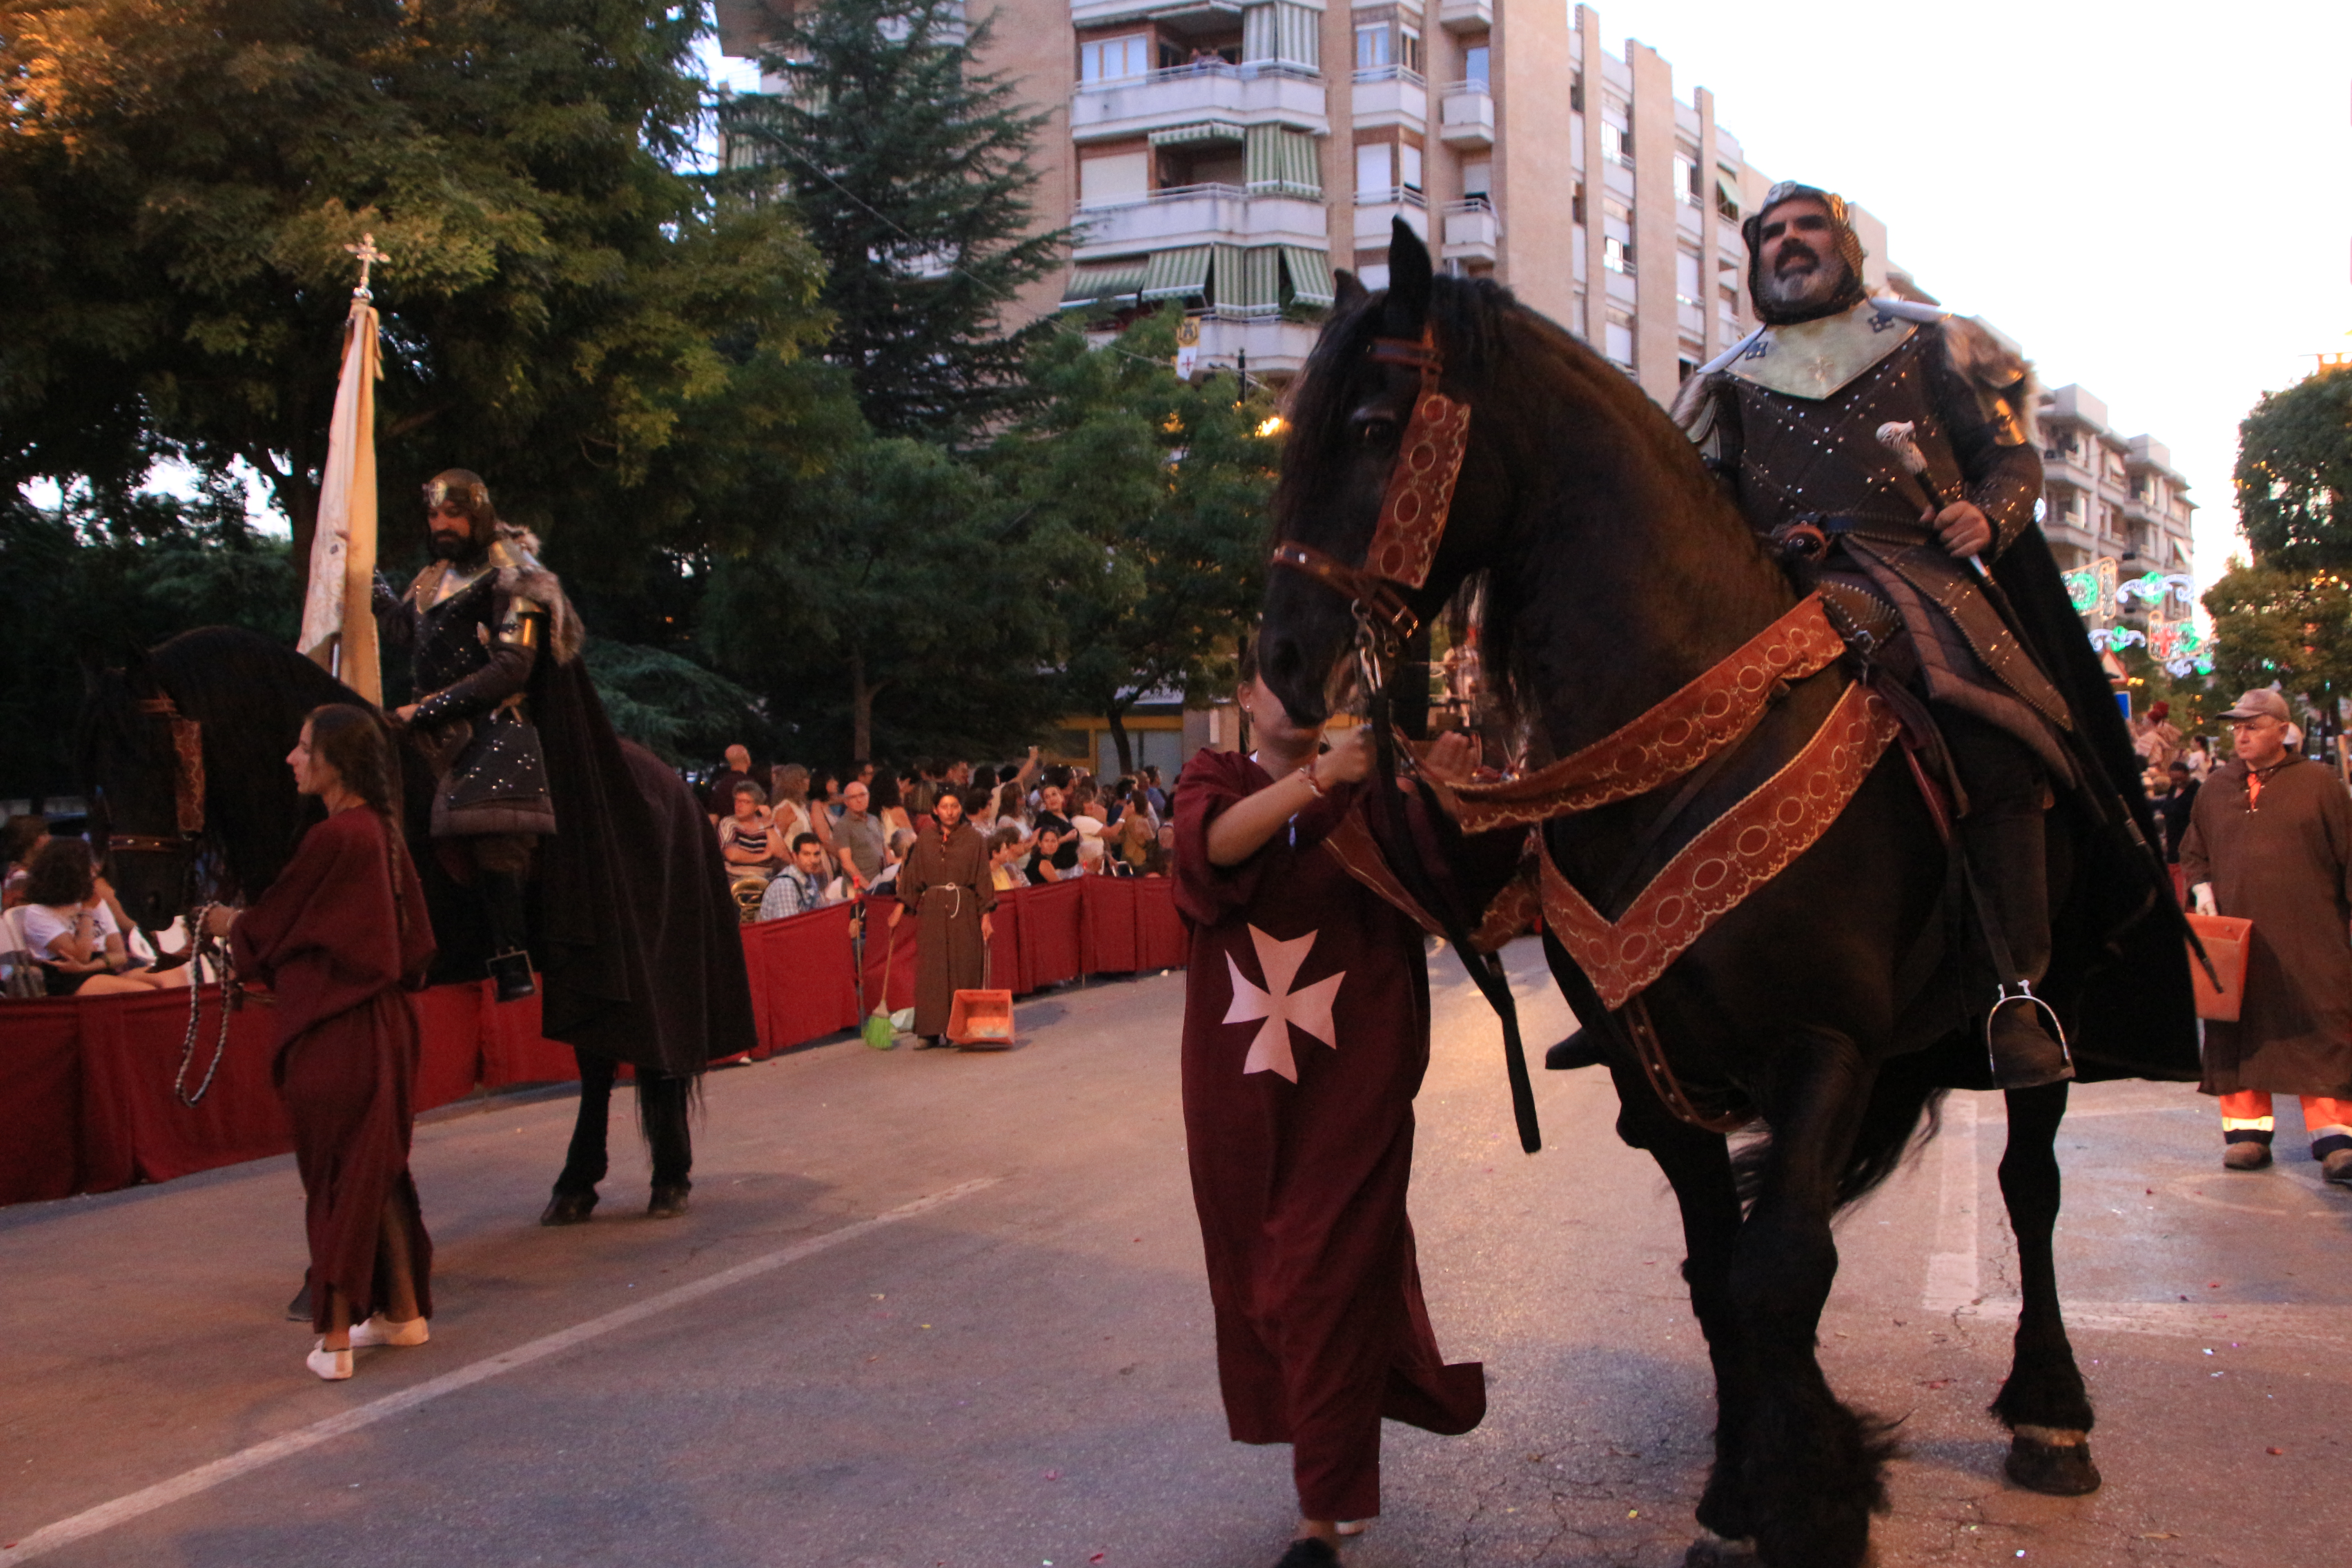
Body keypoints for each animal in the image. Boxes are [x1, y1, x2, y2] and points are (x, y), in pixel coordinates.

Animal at [85, 625, 752, 1222]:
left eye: (151, 753)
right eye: (100, 767)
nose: (142, 898)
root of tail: (677, 787)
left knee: (632, 1056)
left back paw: (654, 1180)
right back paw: (588, 1186)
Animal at [1260, 230, 2192, 1568]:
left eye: (1378, 425)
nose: (1281, 662)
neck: (1689, 731)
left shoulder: (1821, 1044)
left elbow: (1777, 1270)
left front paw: (1811, 1498)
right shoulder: (1660, 1076)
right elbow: (1719, 1274)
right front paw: (1748, 1490)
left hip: (2038, 1003)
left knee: (2031, 1182)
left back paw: (2050, 1410)